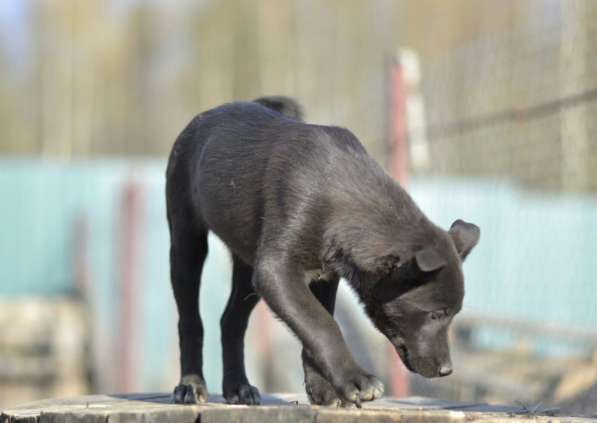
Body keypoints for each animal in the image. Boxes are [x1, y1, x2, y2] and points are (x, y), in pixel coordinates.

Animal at [165, 96, 478, 408]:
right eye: (436, 314)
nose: (447, 370)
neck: (340, 196)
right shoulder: (276, 271)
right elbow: (322, 324)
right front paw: (355, 380)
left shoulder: (325, 276)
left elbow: (314, 324)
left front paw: (324, 391)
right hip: (186, 242)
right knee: (189, 319)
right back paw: (190, 386)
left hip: (247, 265)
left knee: (231, 321)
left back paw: (238, 387)